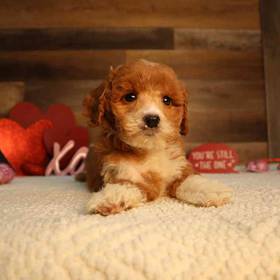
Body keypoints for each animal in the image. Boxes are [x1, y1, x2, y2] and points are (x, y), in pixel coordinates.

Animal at [82, 60, 233, 215]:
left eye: (167, 100)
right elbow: (127, 184)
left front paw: (211, 189)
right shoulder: (120, 171)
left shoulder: (177, 166)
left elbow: (188, 178)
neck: (149, 148)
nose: (152, 119)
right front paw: (111, 196)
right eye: (130, 97)